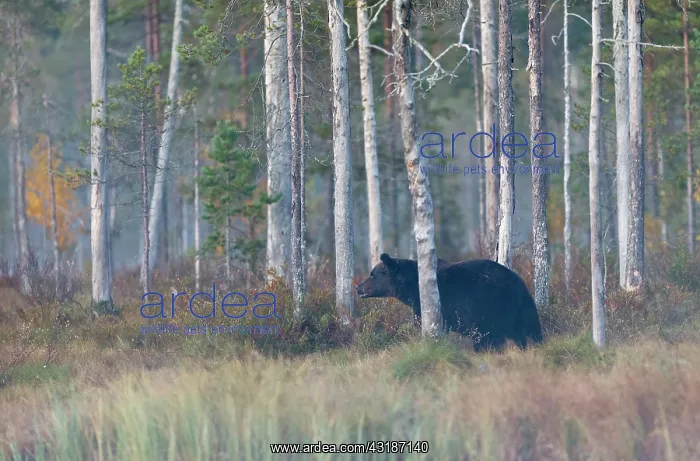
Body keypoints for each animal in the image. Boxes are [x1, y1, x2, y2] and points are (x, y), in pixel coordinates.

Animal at [355, 253, 544, 352]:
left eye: (373, 274)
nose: (358, 288)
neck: (413, 286)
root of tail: (516, 282)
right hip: (523, 308)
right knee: (528, 331)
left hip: (489, 307)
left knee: (490, 336)